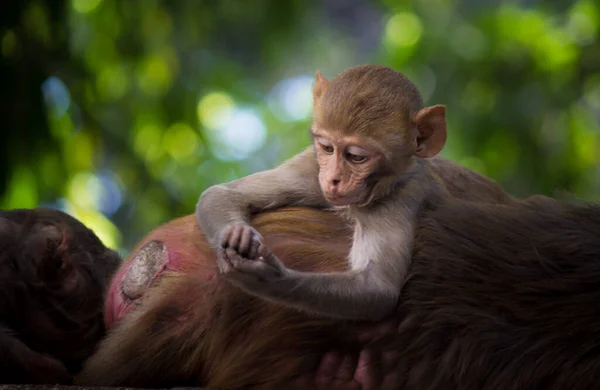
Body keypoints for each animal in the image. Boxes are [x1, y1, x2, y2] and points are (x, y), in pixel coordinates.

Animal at [198, 64, 454, 320]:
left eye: (356, 157)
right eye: (327, 148)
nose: (332, 179)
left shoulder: (403, 196)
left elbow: (376, 290)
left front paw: (268, 277)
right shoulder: (312, 167)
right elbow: (221, 194)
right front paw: (237, 235)